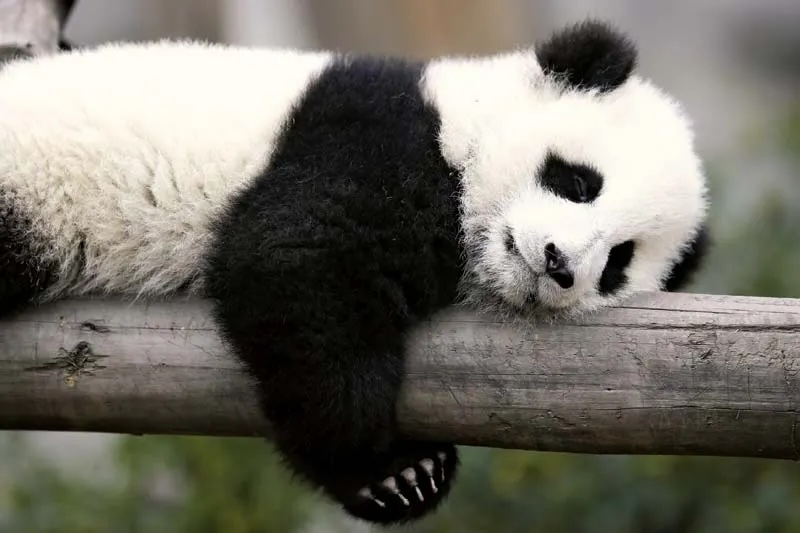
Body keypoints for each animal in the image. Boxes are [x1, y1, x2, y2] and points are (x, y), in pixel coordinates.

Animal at [0, 20, 708, 525]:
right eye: (578, 181)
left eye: (618, 261)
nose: (560, 265)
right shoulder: (377, 137)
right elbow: (292, 261)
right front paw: (391, 470)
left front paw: (404, 479)